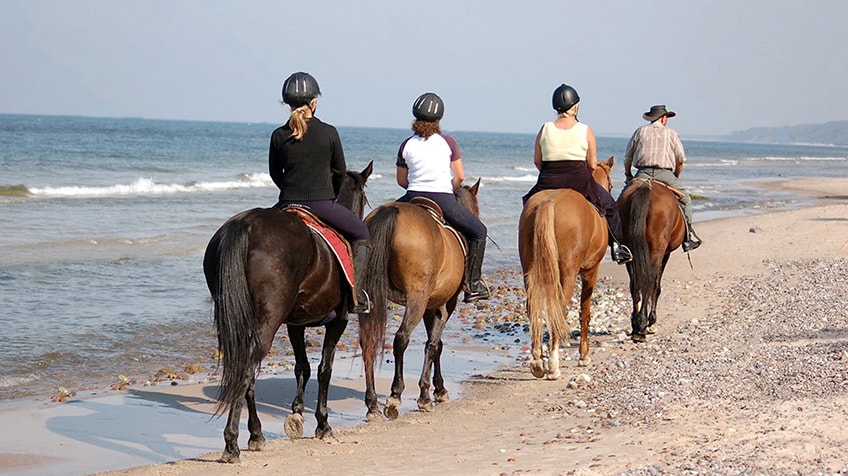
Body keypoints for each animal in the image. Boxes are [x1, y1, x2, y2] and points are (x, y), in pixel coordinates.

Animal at [204, 162, 372, 462]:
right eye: (363, 198)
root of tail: (245, 225)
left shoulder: (295, 324)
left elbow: (302, 367)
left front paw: (297, 414)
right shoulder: (338, 321)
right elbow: (324, 369)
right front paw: (322, 423)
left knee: (245, 369)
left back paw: (256, 434)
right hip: (269, 320)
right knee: (247, 369)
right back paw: (232, 443)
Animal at [354, 180, 480, 422]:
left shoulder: (431, 306)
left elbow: (436, 343)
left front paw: (438, 389)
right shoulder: (444, 304)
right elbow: (434, 345)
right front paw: (427, 394)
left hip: (370, 296)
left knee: (368, 342)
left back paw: (372, 404)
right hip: (416, 298)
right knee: (401, 338)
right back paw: (395, 396)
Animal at [516, 156, 616, 380]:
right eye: (612, 185)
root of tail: (549, 202)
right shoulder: (591, 272)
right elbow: (585, 312)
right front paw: (583, 356)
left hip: (529, 270)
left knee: (533, 307)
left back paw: (537, 362)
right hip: (568, 274)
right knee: (558, 309)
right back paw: (553, 365)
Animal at [616, 178, 688, 342]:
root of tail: (646, 185)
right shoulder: (665, 253)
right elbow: (656, 285)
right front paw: (652, 320)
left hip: (630, 251)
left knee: (636, 284)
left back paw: (636, 325)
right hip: (657, 249)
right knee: (649, 282)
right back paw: (643, 324)